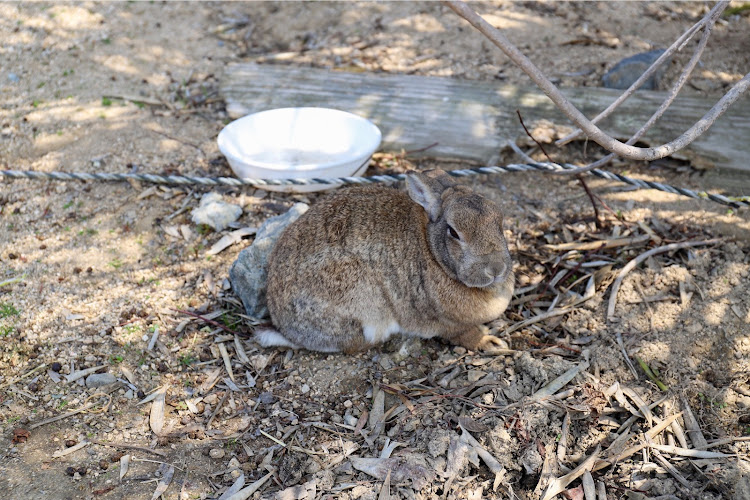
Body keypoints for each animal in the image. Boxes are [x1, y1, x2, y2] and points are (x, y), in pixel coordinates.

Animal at [256, 170, 516, 354]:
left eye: (499, 221)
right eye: (454, 232)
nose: (496, 269)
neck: (433, 252)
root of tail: (283, 326)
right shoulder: (445, 322)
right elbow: (463, 334)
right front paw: (490, 342)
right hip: (359, 296)